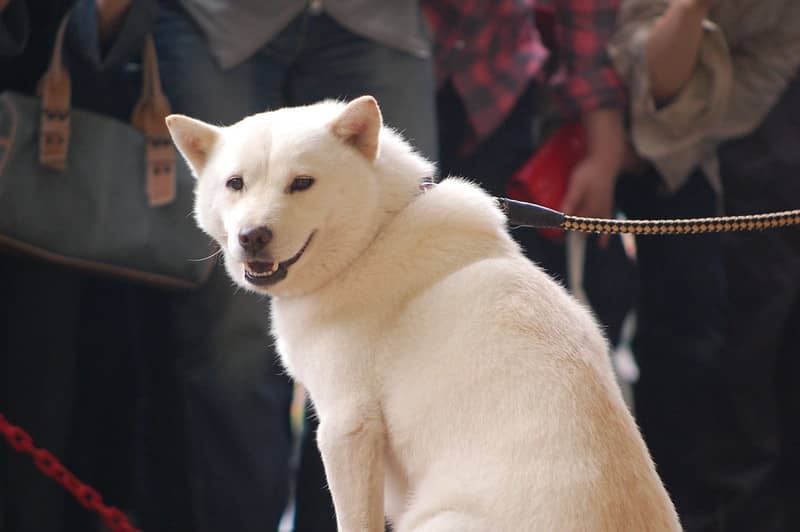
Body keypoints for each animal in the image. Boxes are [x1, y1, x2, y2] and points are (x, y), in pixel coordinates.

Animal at [166, 96, 680, 532]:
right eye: (235, 183)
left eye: (302, 183)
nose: (252, 236)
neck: (376, 233)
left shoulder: (347, 425)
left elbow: (354, 521)